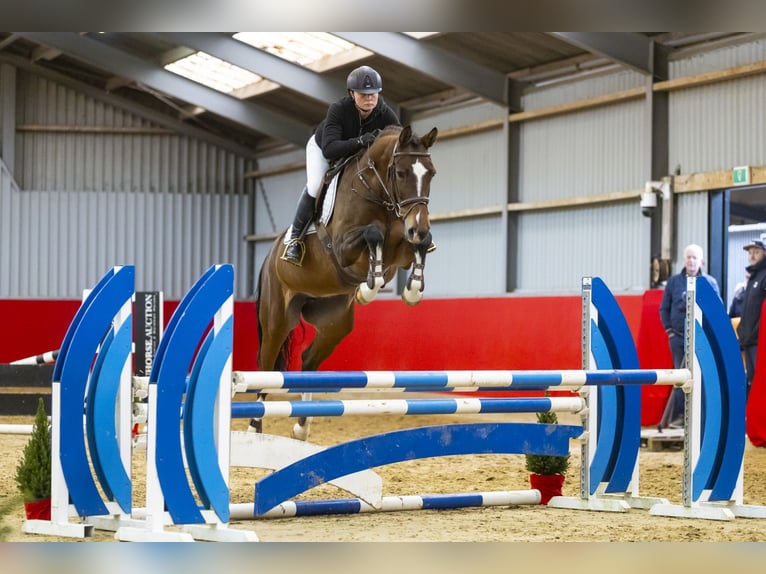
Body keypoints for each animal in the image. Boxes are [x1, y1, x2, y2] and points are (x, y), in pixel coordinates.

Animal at [256, 127, 440, 440]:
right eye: (401, 173)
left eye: (431, 173)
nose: (418, 225)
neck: (377, 192)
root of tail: (268, 257)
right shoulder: (343, 248)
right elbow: (373, 233)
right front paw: (367, 289)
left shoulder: (400, 251)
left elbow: (417, 245)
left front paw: (412, 289)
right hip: (277, 319)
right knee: (266, 367)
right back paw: (254, 427)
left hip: (334, 322)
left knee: (308, 360)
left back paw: (301, 426)